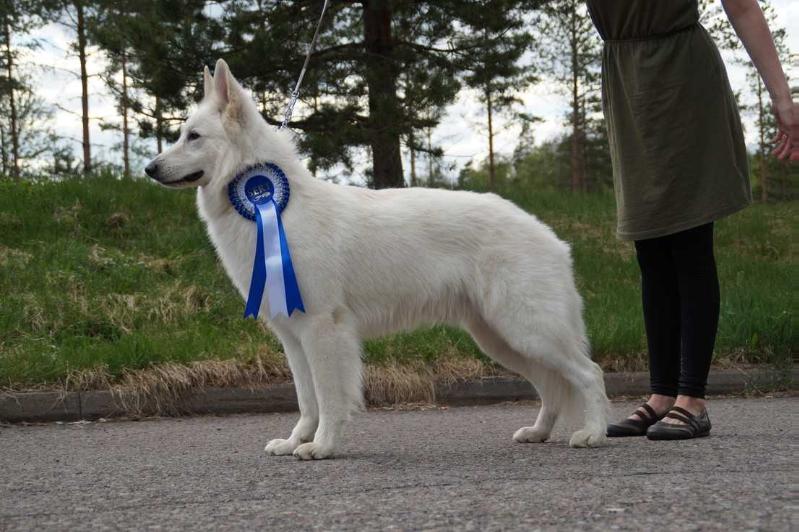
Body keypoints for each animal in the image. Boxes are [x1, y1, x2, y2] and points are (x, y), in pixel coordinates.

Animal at [147, 57, 608, 458]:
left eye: (193, 137)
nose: (150, 169)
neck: (274, 205)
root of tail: (550, 236)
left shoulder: (323, 330)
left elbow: (329, 398)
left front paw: (322, 446)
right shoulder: (293, 337)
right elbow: (306, 399)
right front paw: (296, 441)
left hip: (527, 329)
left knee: (589, 374)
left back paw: (594, 433)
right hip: (501, 337)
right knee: (551, 385)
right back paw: (539, 432)